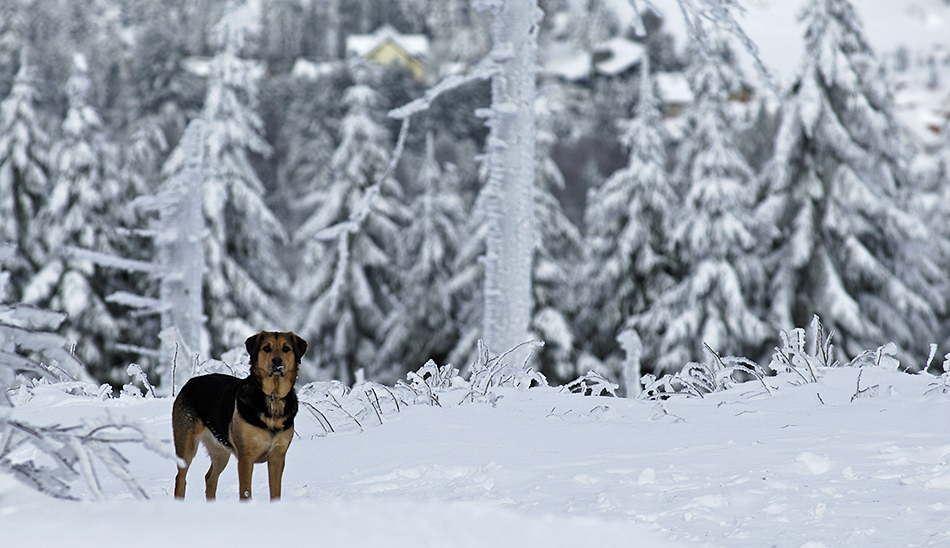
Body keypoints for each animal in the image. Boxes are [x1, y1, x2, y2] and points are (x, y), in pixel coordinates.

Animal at [174, 330, 308, 500]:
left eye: (286, 349)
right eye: (266, 348)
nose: (277, 361)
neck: (272, 397)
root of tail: (190, 382)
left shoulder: (277, 457)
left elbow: (275, 492)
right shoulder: (246, 457)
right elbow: (245, 492)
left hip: (220, 449)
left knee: (210, 478)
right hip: (186, 444)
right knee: (181, 477)